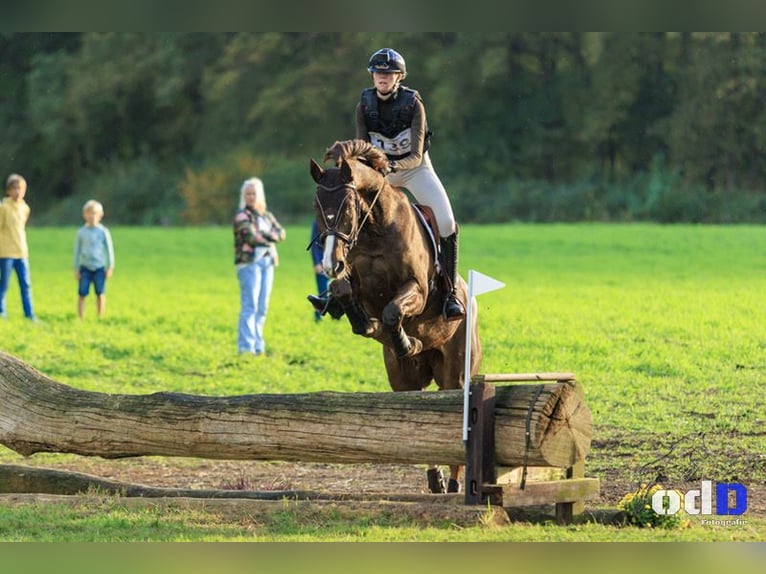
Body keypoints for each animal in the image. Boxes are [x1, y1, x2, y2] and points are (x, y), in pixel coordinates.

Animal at [310, 140, 480, 496]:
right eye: (317, 208)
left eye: (347, 207)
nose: (330, 262)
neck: (375, 229)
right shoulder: (354, 283)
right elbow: (345, 293)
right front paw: (369, 325)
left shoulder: (416, 288)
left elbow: (392, 311)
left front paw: (406, 341)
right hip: (402, 379)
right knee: (413, 407)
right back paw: (435, 479)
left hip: (454, 372)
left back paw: (454, 482)